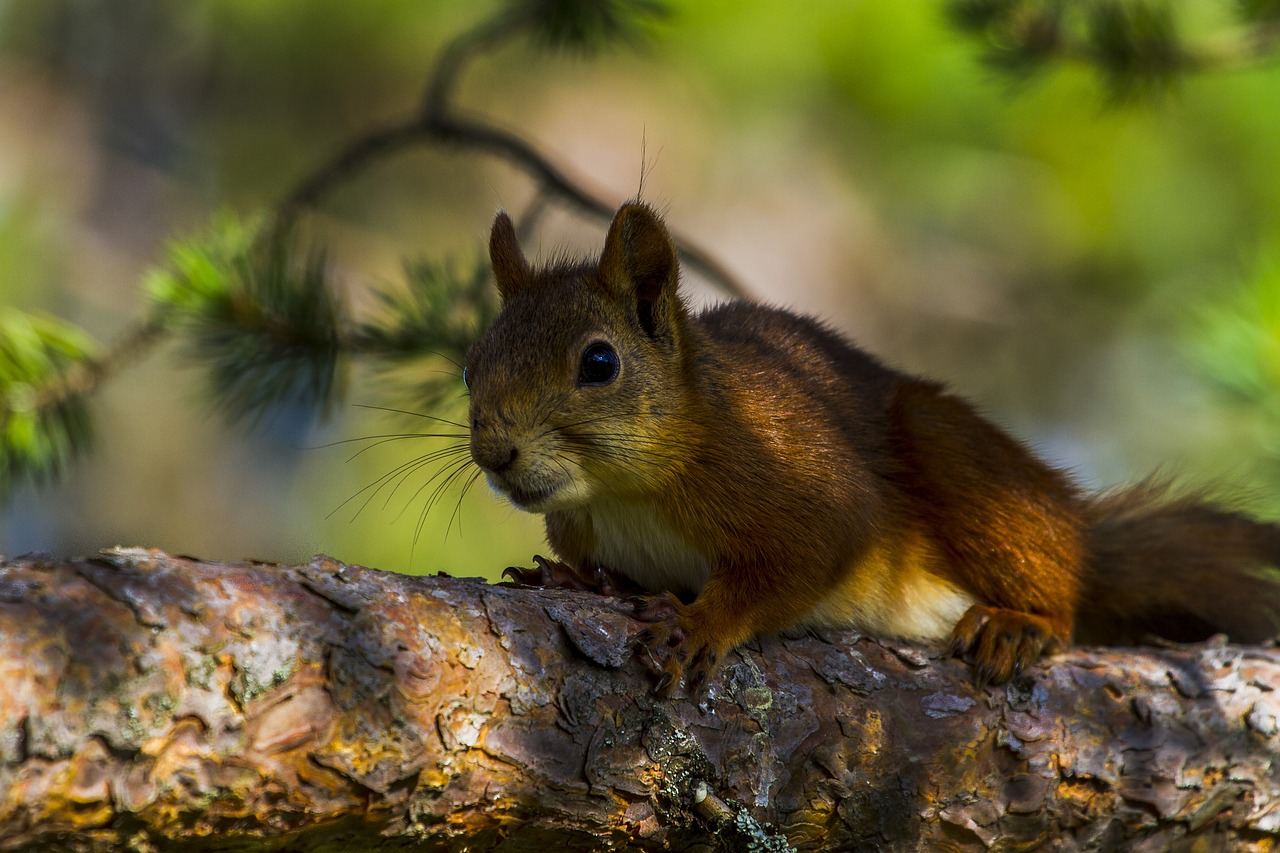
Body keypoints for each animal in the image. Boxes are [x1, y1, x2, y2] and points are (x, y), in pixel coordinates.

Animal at [465, 199, 1280, 691]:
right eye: (473, 363)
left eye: (600, 363)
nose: (496, 454)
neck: (623, 492)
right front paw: (578, 581)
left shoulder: (790, 477)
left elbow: (804, 556)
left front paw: (702, 622)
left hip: (963, 463)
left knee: (1063, 596)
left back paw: (1023, 622)